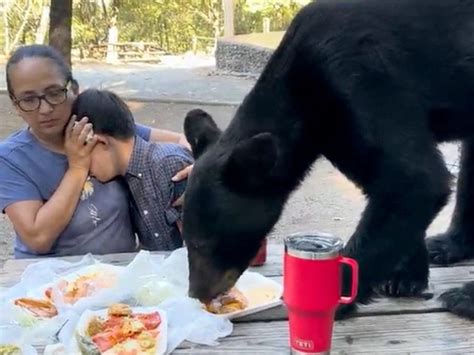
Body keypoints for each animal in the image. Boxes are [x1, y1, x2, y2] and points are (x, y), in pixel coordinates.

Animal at [181, 0, 474, 318]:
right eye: (186, 239)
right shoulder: (338, 133)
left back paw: (464, 296)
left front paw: (335, 297)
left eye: (203, 243)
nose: (197, 293)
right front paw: (405, 276)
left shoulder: (360, 79)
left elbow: (414, 178)